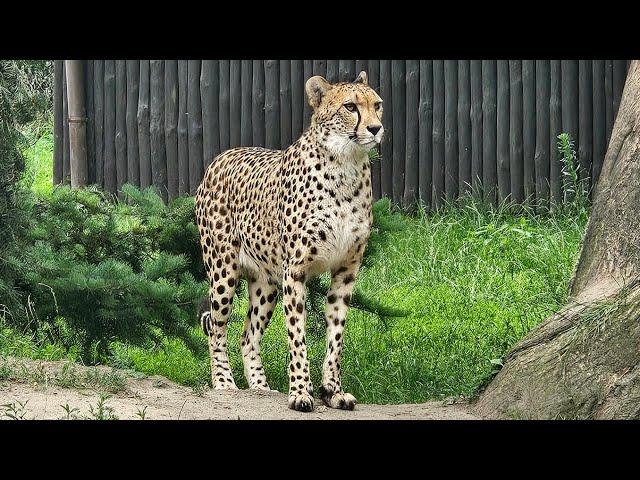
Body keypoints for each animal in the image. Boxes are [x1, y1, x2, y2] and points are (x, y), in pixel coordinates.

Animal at [195, 69, 382, 410]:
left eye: (377, 105)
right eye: (350, 107)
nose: (375, 128)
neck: (346, 163)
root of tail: (223, 155)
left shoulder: (346, 271)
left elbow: (336, 336)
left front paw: (332, 391)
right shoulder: (295, 271)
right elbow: (297, 337)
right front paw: (300, 392)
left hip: (266, 281)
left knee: (248, 335)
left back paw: (260, 387)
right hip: (224, 271)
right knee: (217, 327)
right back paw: (224, 382)